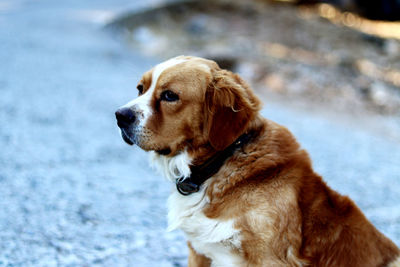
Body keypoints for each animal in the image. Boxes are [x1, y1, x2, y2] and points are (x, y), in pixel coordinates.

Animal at [115, 55, 400, 266]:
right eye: (140, 89)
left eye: (170, 96)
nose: (119, 115)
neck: (220, 164)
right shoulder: (200, 252)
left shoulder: (270, 258)